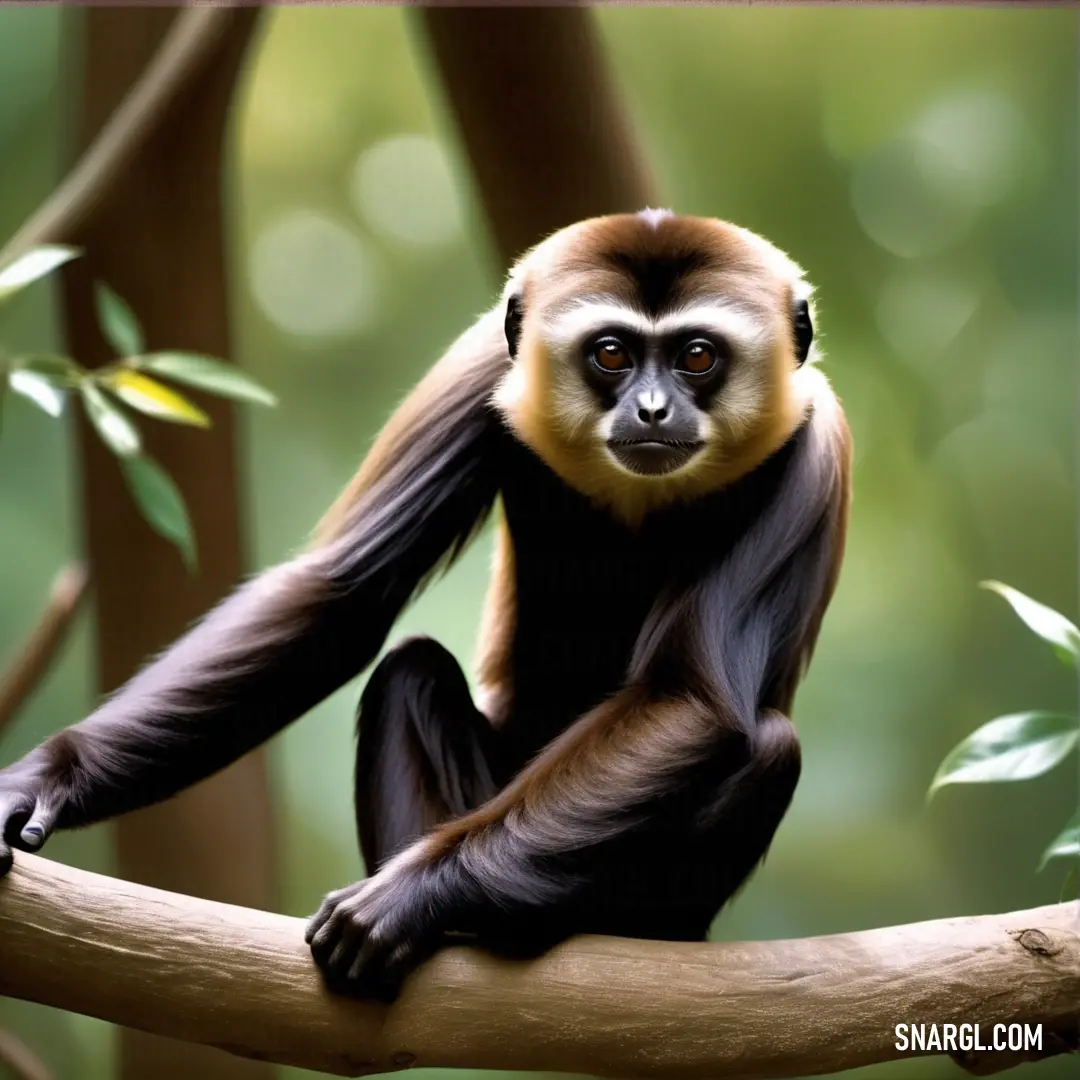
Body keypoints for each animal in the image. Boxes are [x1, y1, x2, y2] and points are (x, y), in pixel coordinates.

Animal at [0, 210, 851, 1002]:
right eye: (611, 353)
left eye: (697, 356)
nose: (650, 410)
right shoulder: (480, 363)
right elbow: (341, 595)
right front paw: (45, 777)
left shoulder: (812, 451)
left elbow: (691, 696)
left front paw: (415, 894)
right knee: (408, 670)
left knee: (771, 743)